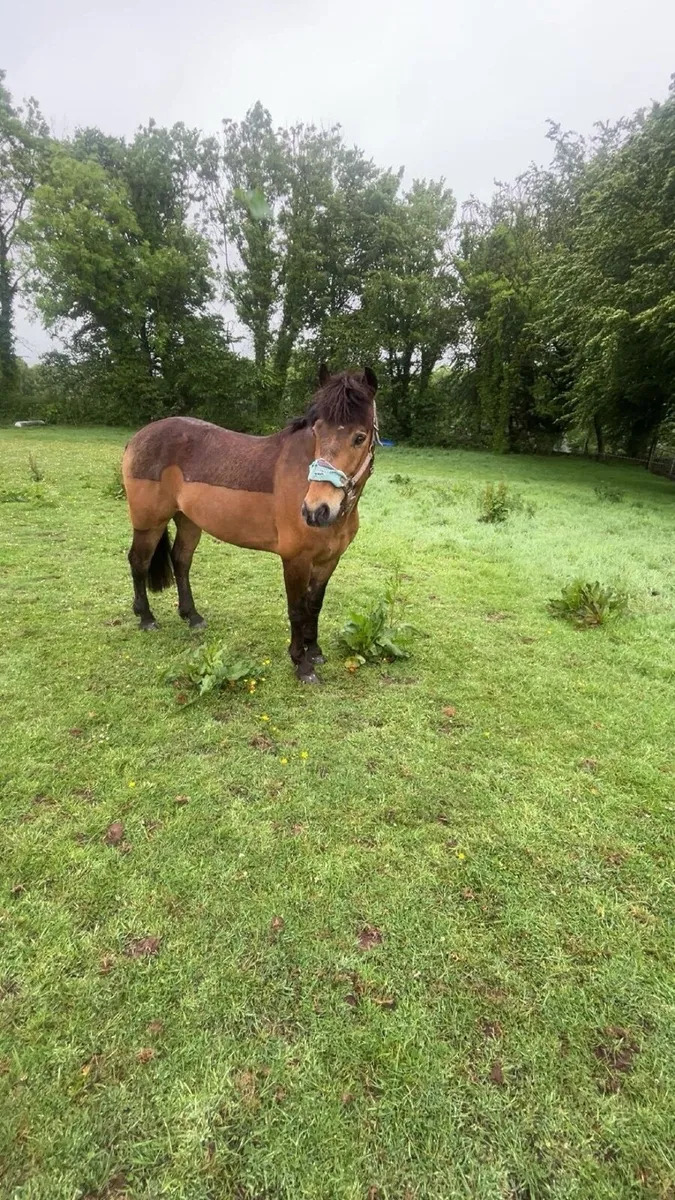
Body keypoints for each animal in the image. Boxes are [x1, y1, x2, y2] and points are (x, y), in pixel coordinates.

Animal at [122, 366, 379, 683]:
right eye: (317, 432)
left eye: (359, 437)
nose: (316, 510)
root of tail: (137, 438)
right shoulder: (296, 559)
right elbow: (297, 608)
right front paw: (302, 664)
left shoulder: (329, 560)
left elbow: (314, 605)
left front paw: (315, 651)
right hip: (149, 523)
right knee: (139, 562)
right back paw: (146, 618)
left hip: (189, 522)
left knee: (180, 561)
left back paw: (192, 616)